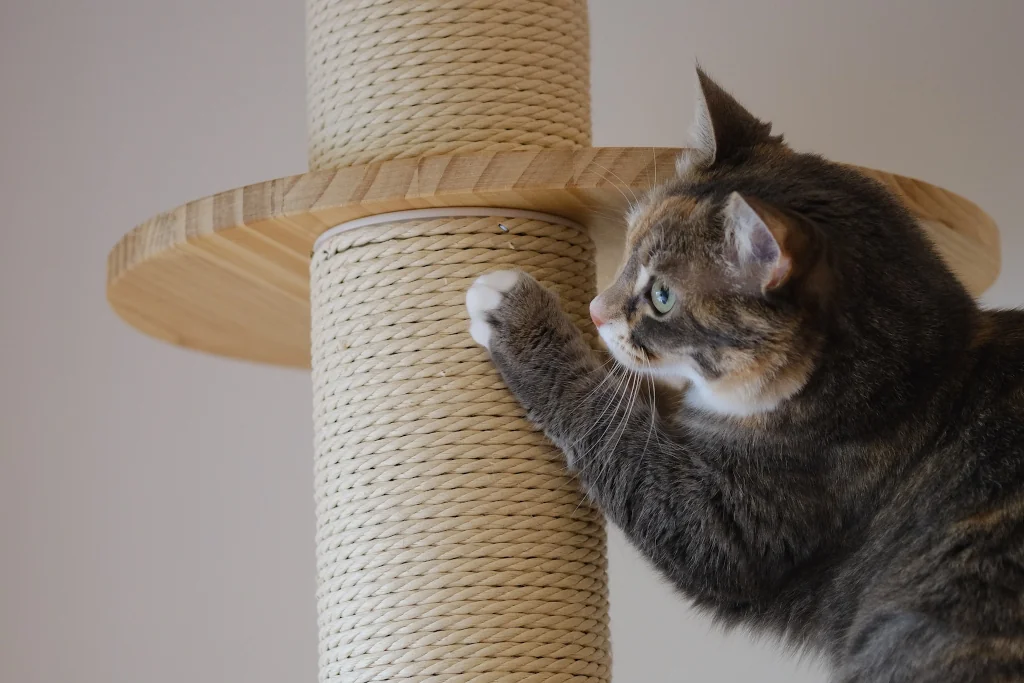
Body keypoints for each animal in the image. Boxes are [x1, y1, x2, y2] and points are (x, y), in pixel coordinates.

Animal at [464, 65, 1024, 683]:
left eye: (662, 297)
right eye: (628, 245)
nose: (593, 310)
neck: (910, 389)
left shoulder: (733, 529)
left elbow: (611, 424)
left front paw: (513, 309)